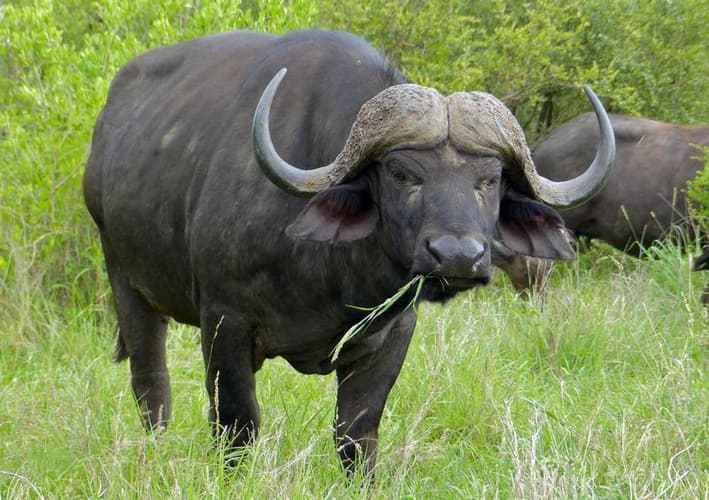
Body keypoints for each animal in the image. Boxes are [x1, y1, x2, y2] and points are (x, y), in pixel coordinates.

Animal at [83, 30, 614, 475]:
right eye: (401, 173)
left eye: (490, 179)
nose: (458, 256)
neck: (334, 275)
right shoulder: (224, 321)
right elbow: (237, 423)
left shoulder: (394, 332)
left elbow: (356, 434)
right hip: (126, 283)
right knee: (151, 386)